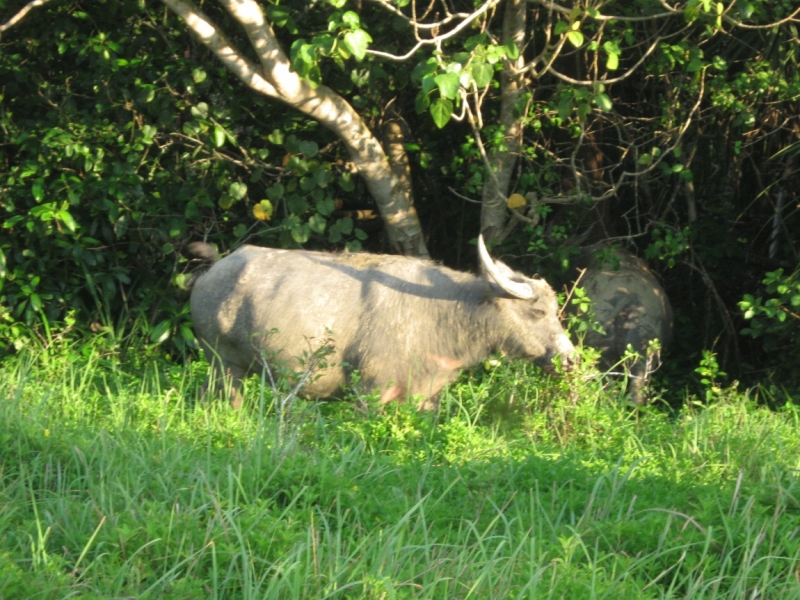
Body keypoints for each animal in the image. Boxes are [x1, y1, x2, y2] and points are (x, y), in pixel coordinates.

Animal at [188, 237, 576, 410]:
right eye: (538, 312)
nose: (570, 359)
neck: (444, 313)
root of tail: (213, 270)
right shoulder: (371, 390)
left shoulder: (425, 396)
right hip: (225, 363)